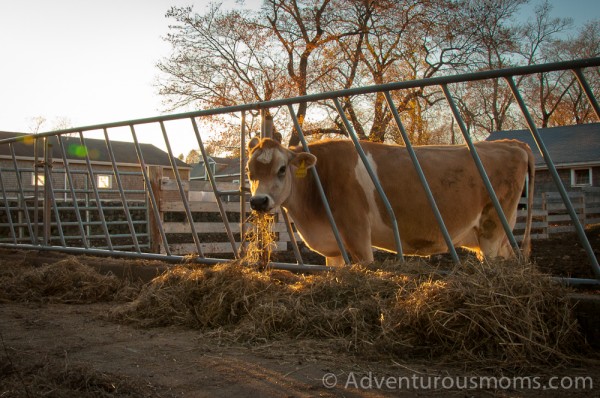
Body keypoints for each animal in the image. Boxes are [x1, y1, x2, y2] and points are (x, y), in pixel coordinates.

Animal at [246, 137, 532, 264]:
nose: (258, 201)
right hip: (498, 234)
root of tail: (511, 143)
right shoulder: (334, 248)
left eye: (282, 169)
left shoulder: (358, 236)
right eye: (249, 171)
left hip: (493, 228)